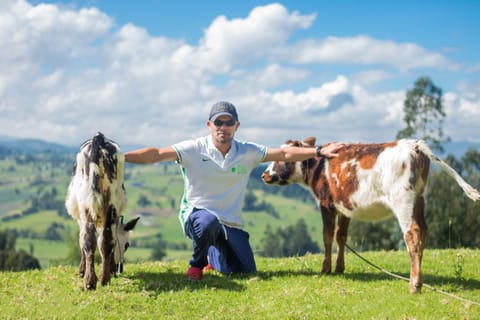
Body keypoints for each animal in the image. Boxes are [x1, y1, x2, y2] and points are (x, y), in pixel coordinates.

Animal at [64, 132, 139, 290]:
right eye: (127, 245)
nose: (119, 269)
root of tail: (99, 138)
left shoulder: (80, 217)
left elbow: (81, 240)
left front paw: (82, 270)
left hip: (88, 206)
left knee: (91, 239)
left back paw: (94, 280)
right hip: (109, 205)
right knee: (103, 239)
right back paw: (100, 280)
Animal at [262, 136, 480, 294]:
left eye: (281, 158)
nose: (264, 174)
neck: (318, 168)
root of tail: (414, 144)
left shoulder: (326, 204)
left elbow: (327, 236)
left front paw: (325, 269)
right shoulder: (345, 205)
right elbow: (341, 236)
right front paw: (340, 267)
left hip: (403, 200)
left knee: (412, 235)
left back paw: (414, 285)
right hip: (419, 199)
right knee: (423, 233)